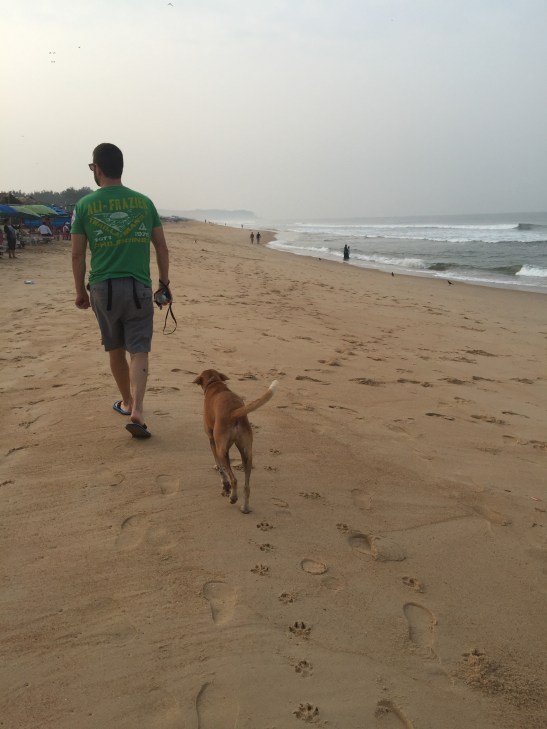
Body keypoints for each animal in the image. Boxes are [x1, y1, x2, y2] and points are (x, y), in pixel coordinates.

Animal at [193, 369, 277, 513]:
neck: (214, 383)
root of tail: (234, 412)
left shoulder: (212, 441)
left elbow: (220, 469)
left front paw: (225, 487)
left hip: (222, 450)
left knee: (234, 479)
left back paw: (232, 497)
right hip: (247, 453)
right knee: (247, 486)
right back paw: (245, 507)